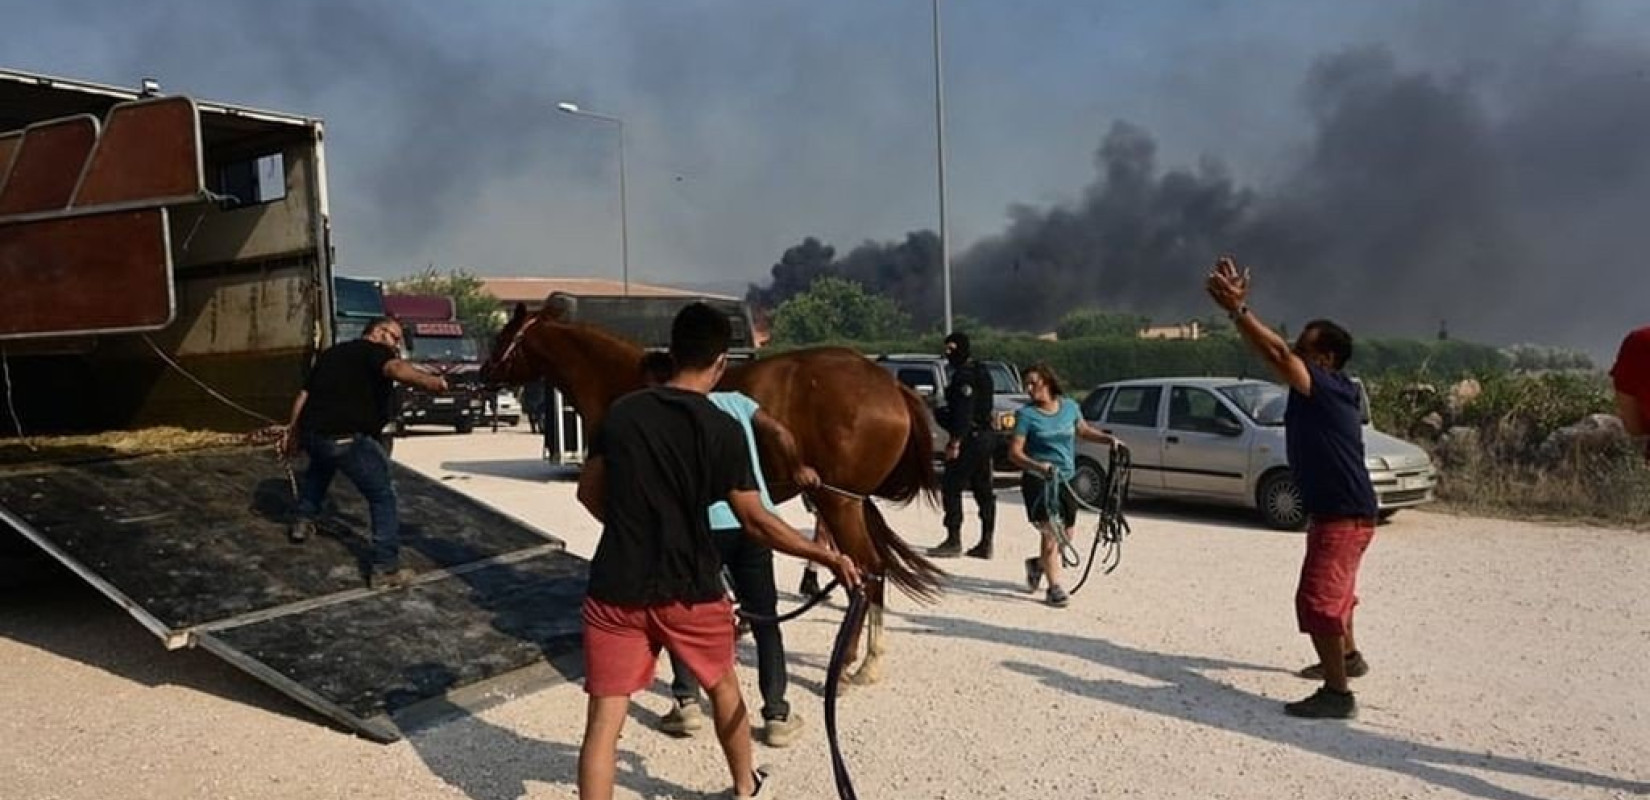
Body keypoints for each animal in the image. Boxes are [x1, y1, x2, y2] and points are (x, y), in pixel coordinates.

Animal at [481, 300, 943, 679]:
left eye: (501, 337)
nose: (482, 374)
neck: (624, 383)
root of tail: (889, 384)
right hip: (847, 503)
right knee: (870, 570)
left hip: (837, 502)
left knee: (863, 572)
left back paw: (853, 662)